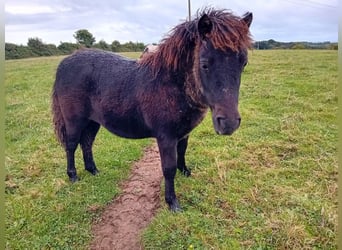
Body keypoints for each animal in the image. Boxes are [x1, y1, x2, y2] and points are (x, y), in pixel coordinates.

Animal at [52, 8, 252, 211]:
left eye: (243, 63)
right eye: (204, 64)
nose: (228, 123)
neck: (171, 84)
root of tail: (64, 63)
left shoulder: (183, 133)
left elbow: (182, 152)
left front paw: (185, 172)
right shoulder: (166, 137)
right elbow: (168, 168)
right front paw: (172, 203)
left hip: (93, 122)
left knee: (86, 143)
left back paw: (93, 170)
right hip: (75, 121)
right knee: (71, 145)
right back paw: (73, 176)